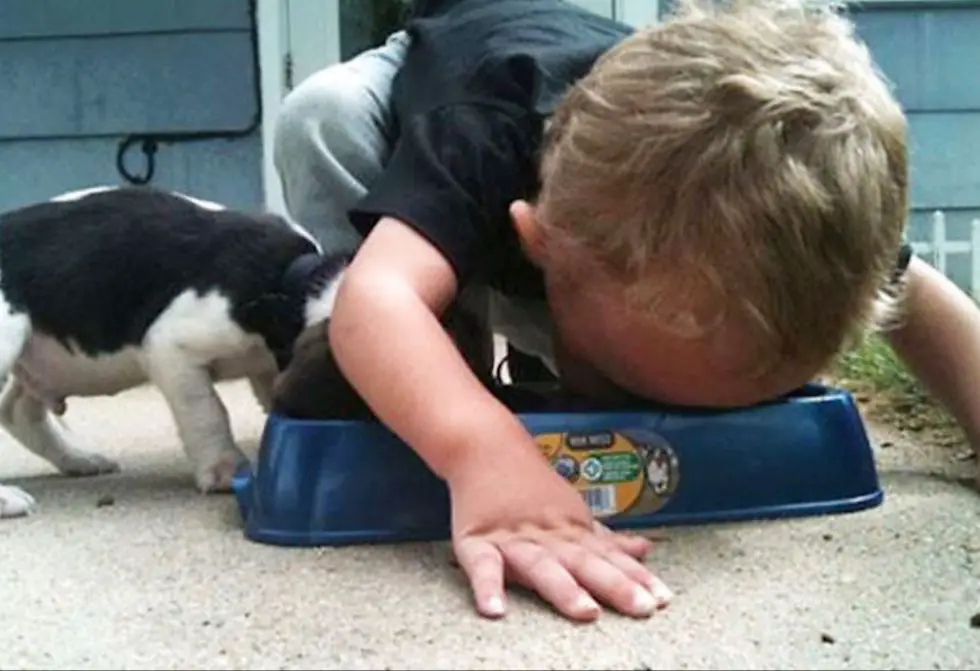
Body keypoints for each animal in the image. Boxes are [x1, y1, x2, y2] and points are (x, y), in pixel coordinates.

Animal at [0, 185, 348, 520]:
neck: (294, 291)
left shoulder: (267, 368)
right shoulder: (171, 348)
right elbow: (207, 412)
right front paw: (225, 468)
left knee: (16, 410)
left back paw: (80, 459)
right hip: (9, 334)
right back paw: (9, 499)